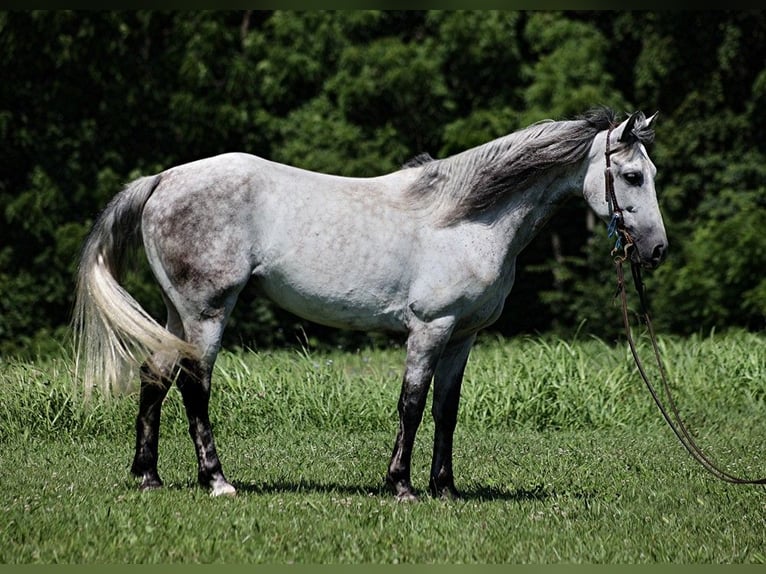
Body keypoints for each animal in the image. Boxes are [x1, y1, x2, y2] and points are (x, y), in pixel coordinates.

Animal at [75, 107, 668, 500]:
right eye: (632, 175)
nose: (657, 250)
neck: (468, 220)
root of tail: (163, 180)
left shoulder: (463, 336)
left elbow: (447, 409)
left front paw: (445, 489)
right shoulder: (430, 328)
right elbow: (412, 403)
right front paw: (401, 486)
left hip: (178, 313)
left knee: (155, 375)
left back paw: (148, 476)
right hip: (207, 312)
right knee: (195, 384)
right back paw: (217, 482)